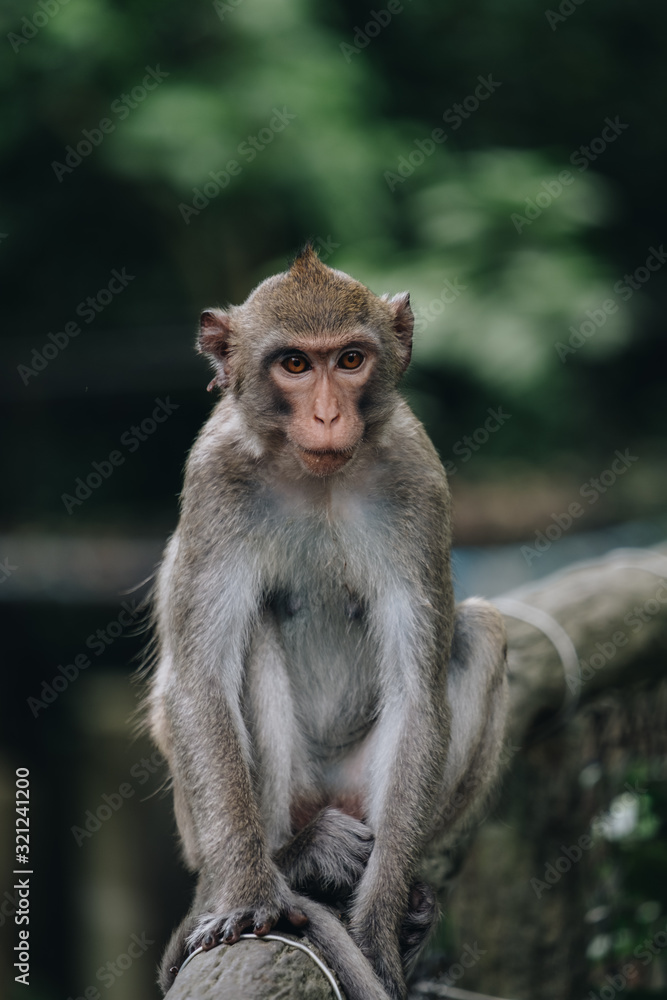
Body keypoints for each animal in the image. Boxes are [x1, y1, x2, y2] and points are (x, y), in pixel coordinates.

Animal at [147, 245, 508, 1000]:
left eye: (348, 360)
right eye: (293, 364)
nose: (325, 414)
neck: (315, 478)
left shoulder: (417, 477)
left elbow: (417, 690)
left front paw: (378, 931)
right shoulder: (213, 478)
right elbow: (199, 683)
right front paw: (254, 895)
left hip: (360, 789)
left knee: (483, 631)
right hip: (260, 812)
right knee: (250, 635)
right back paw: (293, 862)